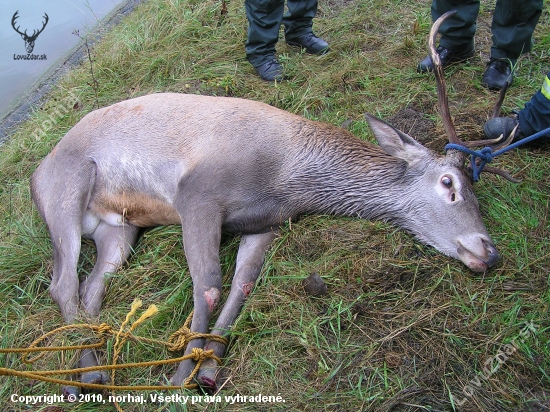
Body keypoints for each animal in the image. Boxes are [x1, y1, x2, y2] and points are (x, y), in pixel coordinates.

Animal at [30, 9, 504, 392]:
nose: (489, 250)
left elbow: (242, 286)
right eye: (449, 183)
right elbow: (208, 285)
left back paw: (92, 368)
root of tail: (38, 170)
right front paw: (180, 374)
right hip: (66, 189)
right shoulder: (196, 192)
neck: (285, 178)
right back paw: (78, 379)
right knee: (61, 282)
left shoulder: (265, 224)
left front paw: (209, 368)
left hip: (120, 228)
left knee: (91, 286)